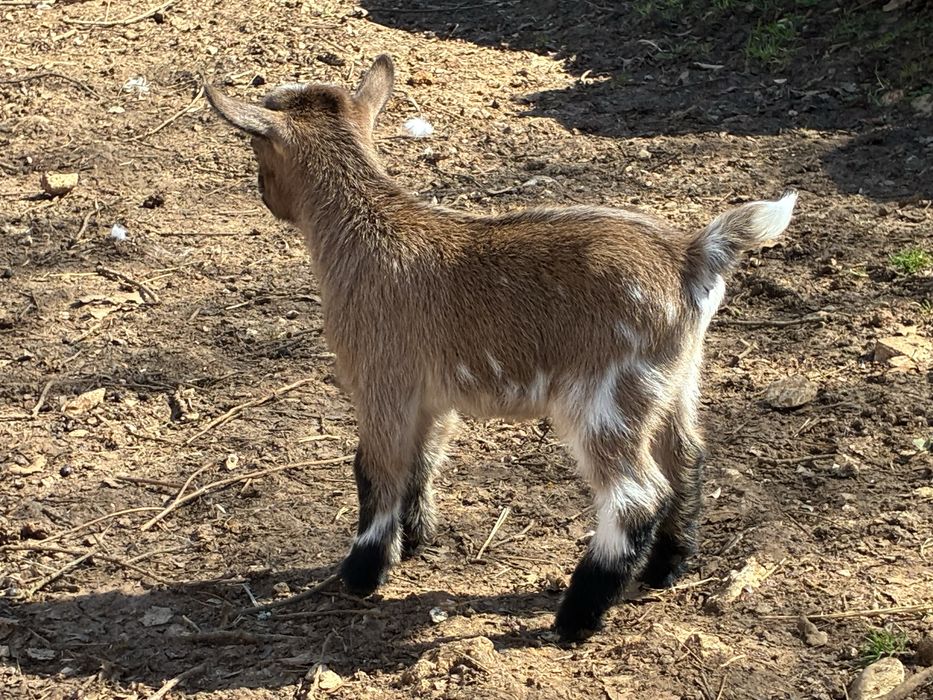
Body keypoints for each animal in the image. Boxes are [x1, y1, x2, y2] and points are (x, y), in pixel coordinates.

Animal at [205, 54, 797, 641]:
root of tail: (690, 256)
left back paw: (578, 615)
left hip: (606, 396)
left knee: (635, 496)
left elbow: (376, 470)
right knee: (688, 458)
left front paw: (362, 572)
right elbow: (423, 460)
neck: (366, 229)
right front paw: (415, 540)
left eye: (257, 149)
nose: (264, 194)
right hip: (675, 381)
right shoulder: (432, 397)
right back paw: (666, 567)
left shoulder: (381, 379)